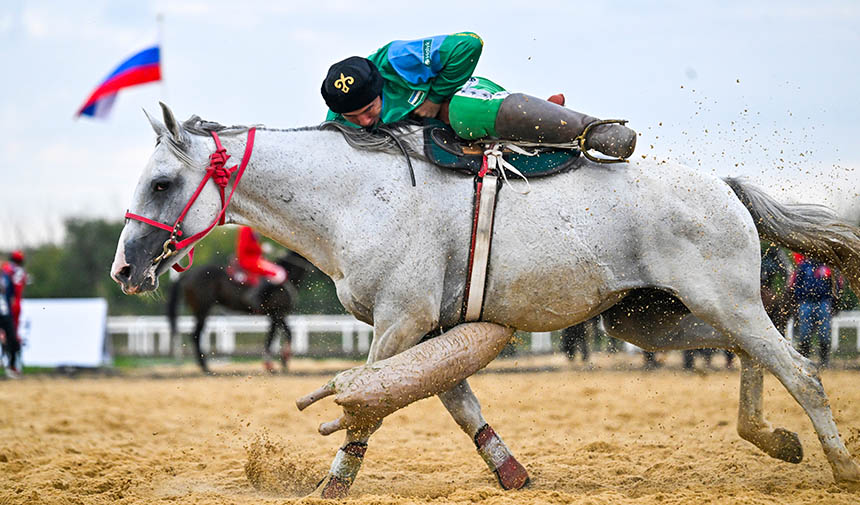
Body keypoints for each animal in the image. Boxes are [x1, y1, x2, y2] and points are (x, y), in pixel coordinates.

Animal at [165, 251, 312, 372]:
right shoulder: (277, 313)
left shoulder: (275, 316)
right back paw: (205, 367)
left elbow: (272, 337)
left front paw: (272, 364)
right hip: (202, 309)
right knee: (196, 334)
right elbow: (287, 333)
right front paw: (283, 360)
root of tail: (187, 275)